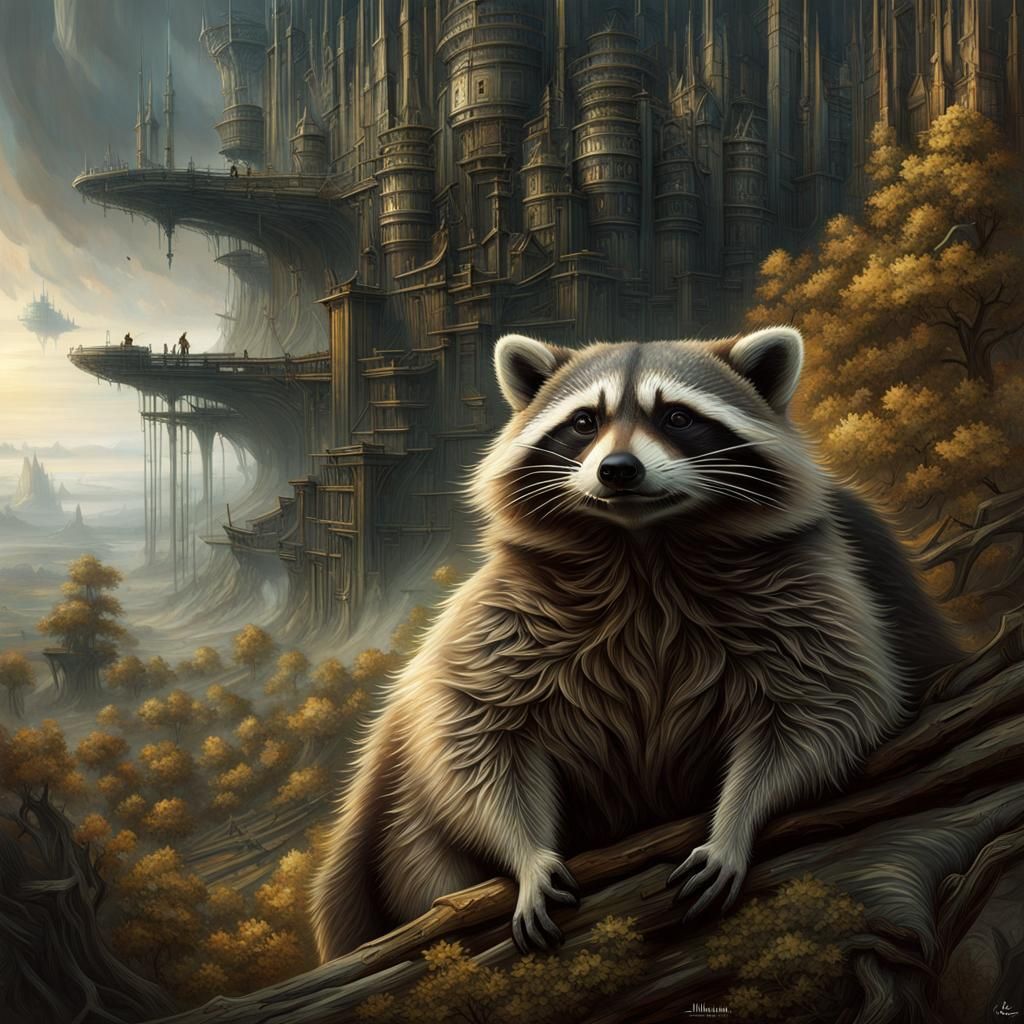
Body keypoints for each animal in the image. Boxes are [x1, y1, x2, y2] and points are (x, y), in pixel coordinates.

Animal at [310, 327, 958, 962]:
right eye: (583, 422)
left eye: (676, 417)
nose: (618, 469)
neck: (643, 544)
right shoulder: (509, 611)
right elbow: (476, 735)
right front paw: (529, 856)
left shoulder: (808, 584)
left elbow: (824, 709)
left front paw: (736, 821)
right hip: (394, 833)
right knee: (421, 835)